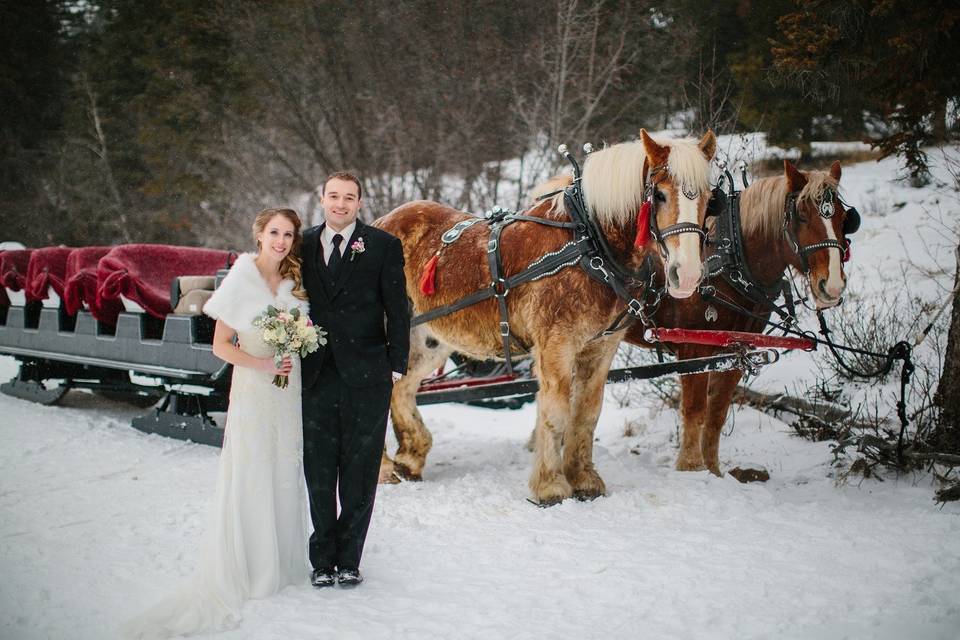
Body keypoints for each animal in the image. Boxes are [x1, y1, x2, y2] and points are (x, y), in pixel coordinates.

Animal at [372, 130, 716, 504]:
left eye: (709, 196)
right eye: (660, 194)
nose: (687, 275)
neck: (588, 243)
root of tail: (381, 221)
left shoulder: (601, 347)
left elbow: (587, 412)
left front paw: (584, 480)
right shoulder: (556, 346)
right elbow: (556, 412)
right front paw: (550, 486)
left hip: (427, 339)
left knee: (402, 387)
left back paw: (410, 458)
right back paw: (384, 470)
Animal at [624, 160, 856, 476]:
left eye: (845, 218)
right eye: (802, 216)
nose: (831, 286)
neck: (728, 260)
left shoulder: (736, 351)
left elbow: (716, 415)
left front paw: (714, 474)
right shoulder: (694, 349)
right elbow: (694, 412)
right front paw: (690, 470)